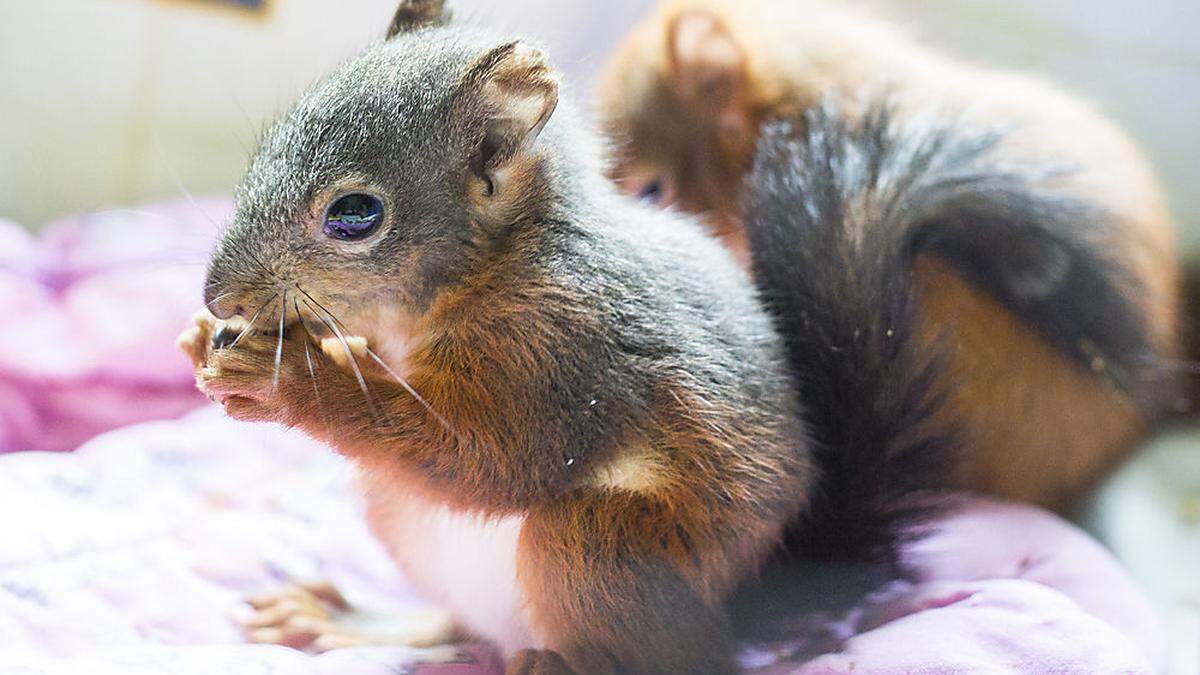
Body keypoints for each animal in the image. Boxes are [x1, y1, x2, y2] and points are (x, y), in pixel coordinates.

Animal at [175, 1, 964, 667]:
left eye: (355, 214)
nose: (218, 296)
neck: (498, 262)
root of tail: (743, 611)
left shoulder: (560, 344)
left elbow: (490, 458)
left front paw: (285, 379)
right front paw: (212, 337)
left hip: (600, 546)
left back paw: (553, 663)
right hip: (398, 511)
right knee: (464, 627)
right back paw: (365, 625)